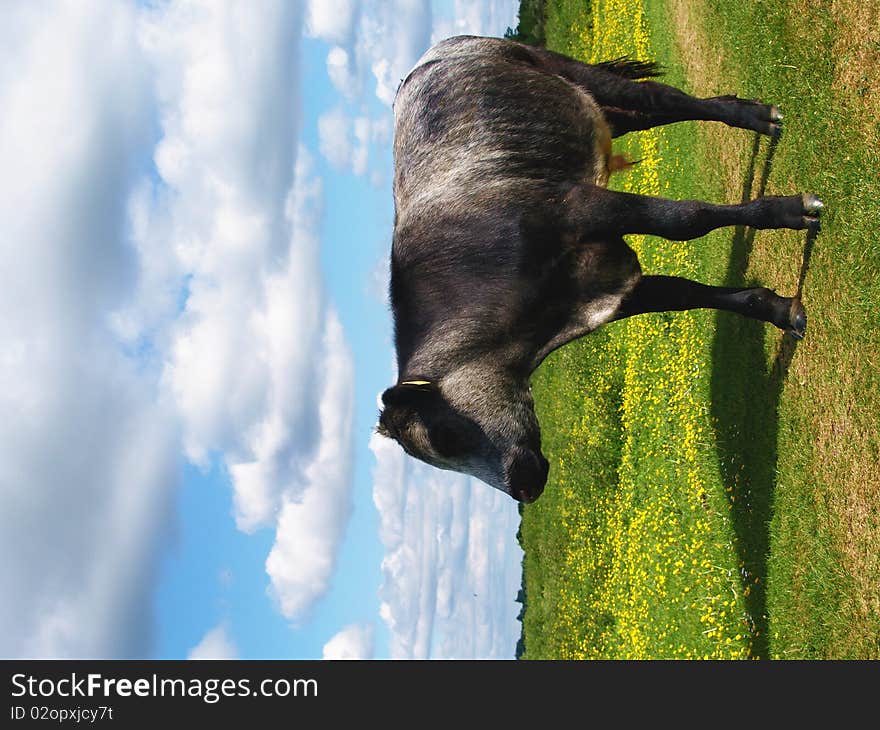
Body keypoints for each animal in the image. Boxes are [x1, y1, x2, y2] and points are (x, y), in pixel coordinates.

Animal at [374, 34, 820, 500]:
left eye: (447, 435)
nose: (524, 488)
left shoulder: (581, 206)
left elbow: (684, 220)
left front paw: (789, 211)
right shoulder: (609, 288)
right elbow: (687, 295)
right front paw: (778, 309)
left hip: (572, 72)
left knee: (657, 97)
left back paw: (757, 118)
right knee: (649, 116)